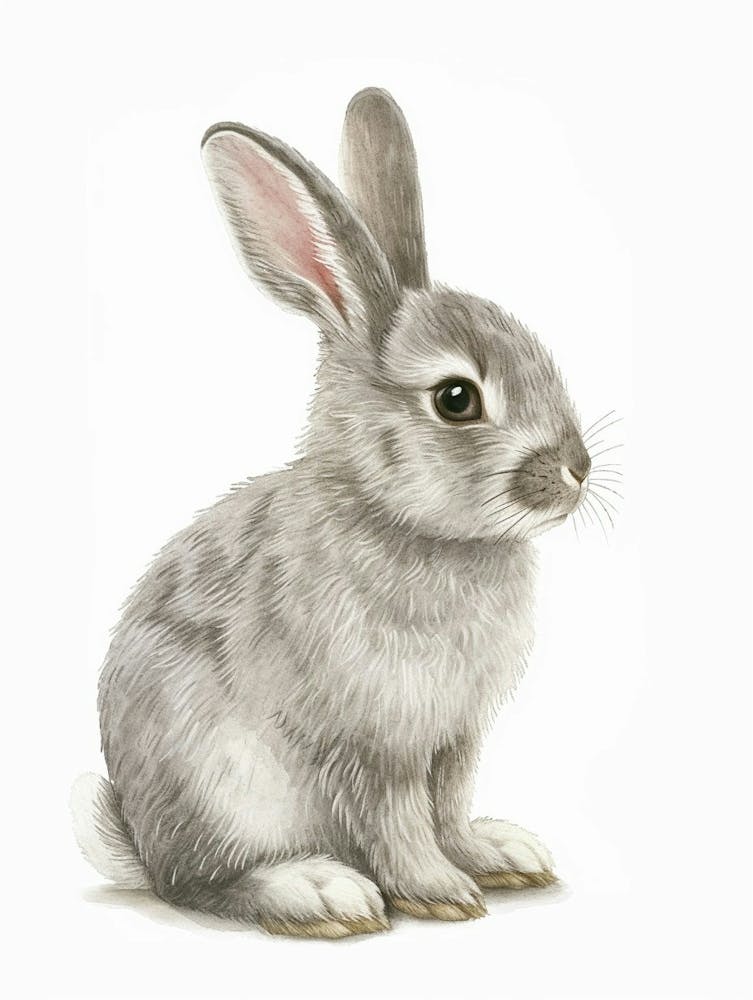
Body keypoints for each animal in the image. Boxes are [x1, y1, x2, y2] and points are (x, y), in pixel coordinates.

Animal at [72, 87, 594, 939]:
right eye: (457, 399)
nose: (576, 471)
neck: (400, 520)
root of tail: (142, 844)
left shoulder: (453, 739)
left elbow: (447, 806)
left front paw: (486, 858)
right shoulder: (369, 740)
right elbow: (398, 820)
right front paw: (438, 892)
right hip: (220, 785)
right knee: (203, 884)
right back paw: (317, 891)